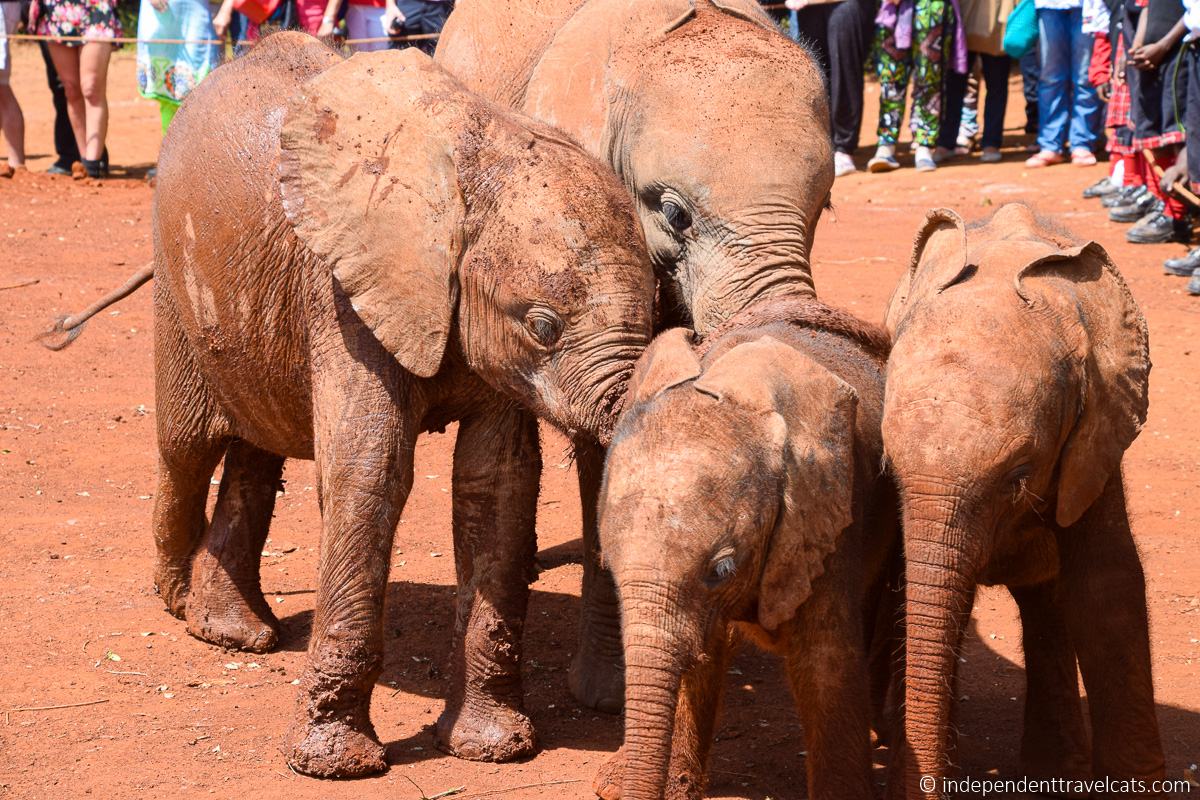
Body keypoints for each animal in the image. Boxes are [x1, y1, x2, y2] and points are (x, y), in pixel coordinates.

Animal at [153, 35, 657, 777]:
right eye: (543, 326)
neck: (479, 165)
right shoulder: (343, 290)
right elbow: (369, 473)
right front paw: (336, 767)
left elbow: (496, 487)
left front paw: (492, 751)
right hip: (175, 277)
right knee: (185, 447)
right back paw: (178, 598)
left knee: (257, 448)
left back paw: (233, 633)